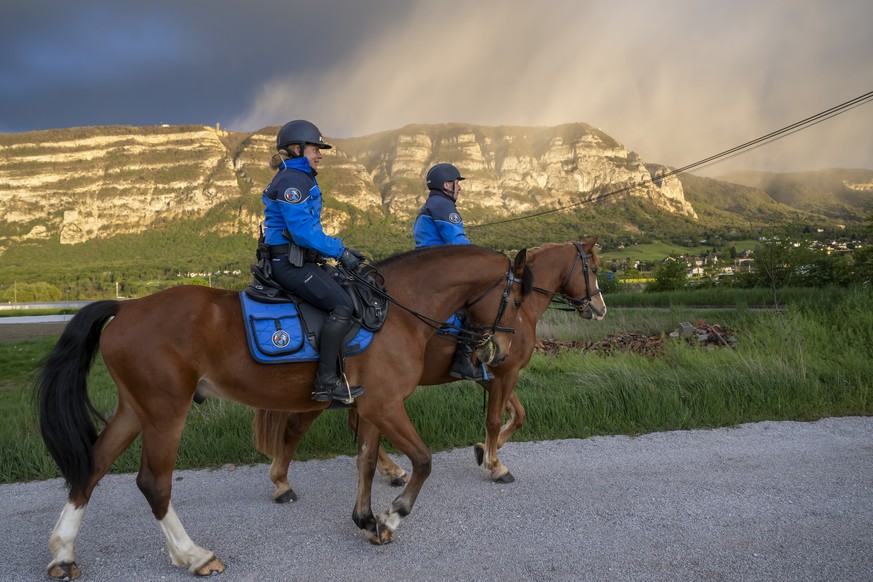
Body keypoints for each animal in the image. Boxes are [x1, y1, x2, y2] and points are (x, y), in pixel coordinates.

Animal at [34, 245, 528, 580]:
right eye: (518, 299)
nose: (504, 352)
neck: (394, 312)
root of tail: (126, 306)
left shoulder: (371, 405)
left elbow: (366, 461)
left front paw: (367, 520)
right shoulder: (386, 404)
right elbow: (422, 461)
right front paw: (392, 515)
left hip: (135, 410)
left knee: (93, 466)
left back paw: (63, 553)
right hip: (164, 411)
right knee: (153, 482)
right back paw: (194, 555)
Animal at [252, 240, 608, 504]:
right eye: (592, 268)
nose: (600, 308)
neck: (519, 310)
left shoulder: (496, 375)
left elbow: (517, 415)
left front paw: (485, 451)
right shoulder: (505, 372)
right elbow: (495, 419)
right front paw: (494, 463)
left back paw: (391, 471)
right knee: (297, 427)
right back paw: (283, 482)